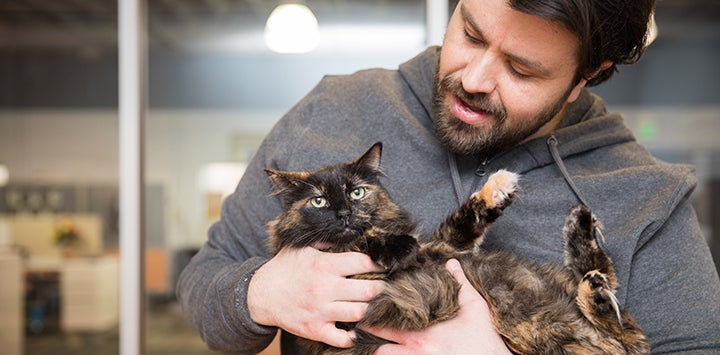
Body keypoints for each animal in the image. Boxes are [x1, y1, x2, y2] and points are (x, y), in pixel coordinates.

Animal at [268, 143, 648, 354]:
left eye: (356, 192)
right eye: (318, 201)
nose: (345, 213)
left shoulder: (448, 245)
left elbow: (467, 218)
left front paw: (498, 188)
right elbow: (369, 239)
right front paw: (393, 246)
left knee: (620, 313)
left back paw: (583, 237)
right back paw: (595, 288)